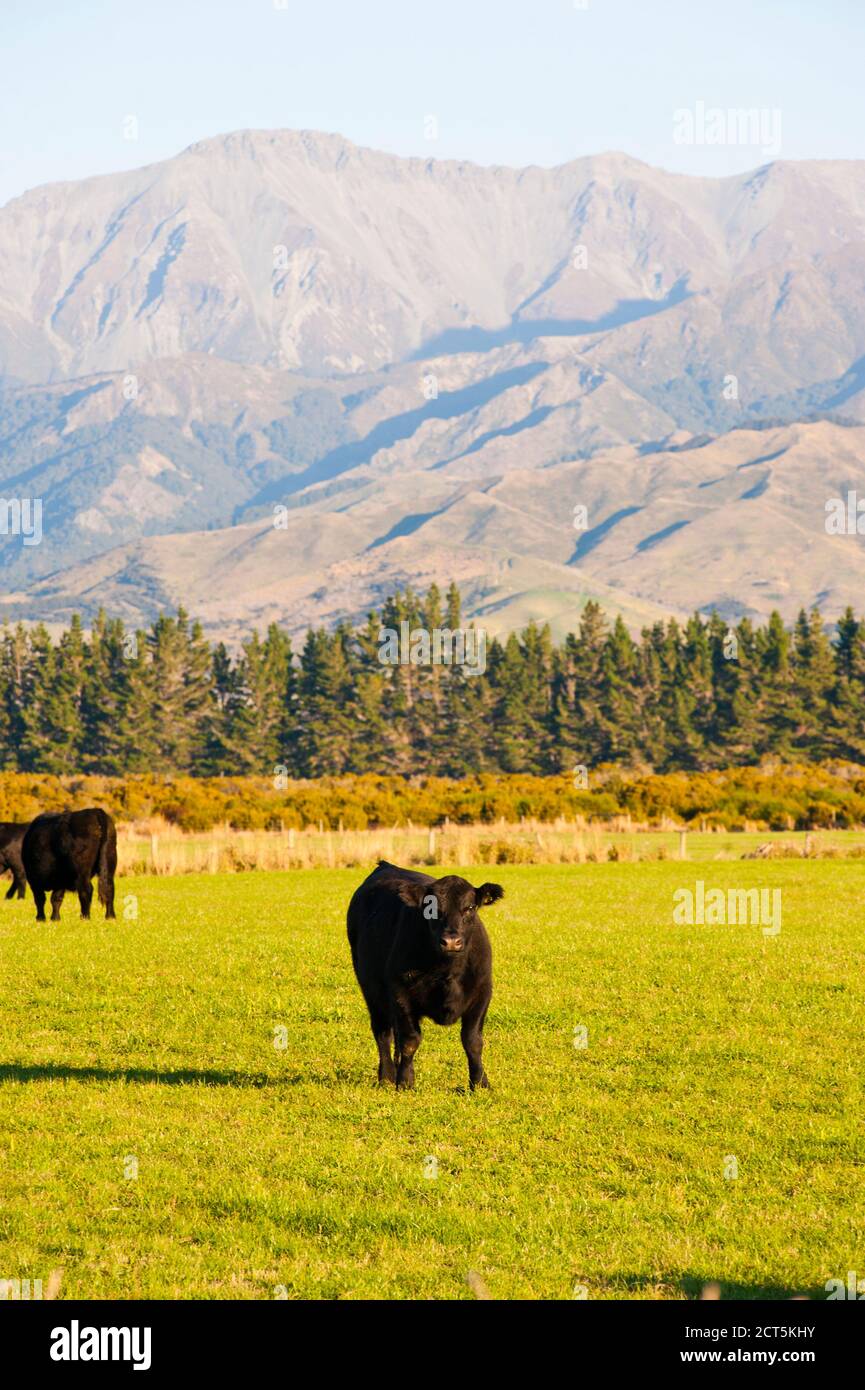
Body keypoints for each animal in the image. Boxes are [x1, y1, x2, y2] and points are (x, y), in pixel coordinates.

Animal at [347, 860, 504, 1091]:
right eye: (432, 909)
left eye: (470, 907)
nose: (451, 942)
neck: (448, 972)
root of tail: (386, 865)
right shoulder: (400, 992)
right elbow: (410, 1041)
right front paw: (405, 1081)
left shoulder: (482, 992)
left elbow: (473, 1041)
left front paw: (480, 1082)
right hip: (370, 989)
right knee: (383, 1032)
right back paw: (387, 1076)